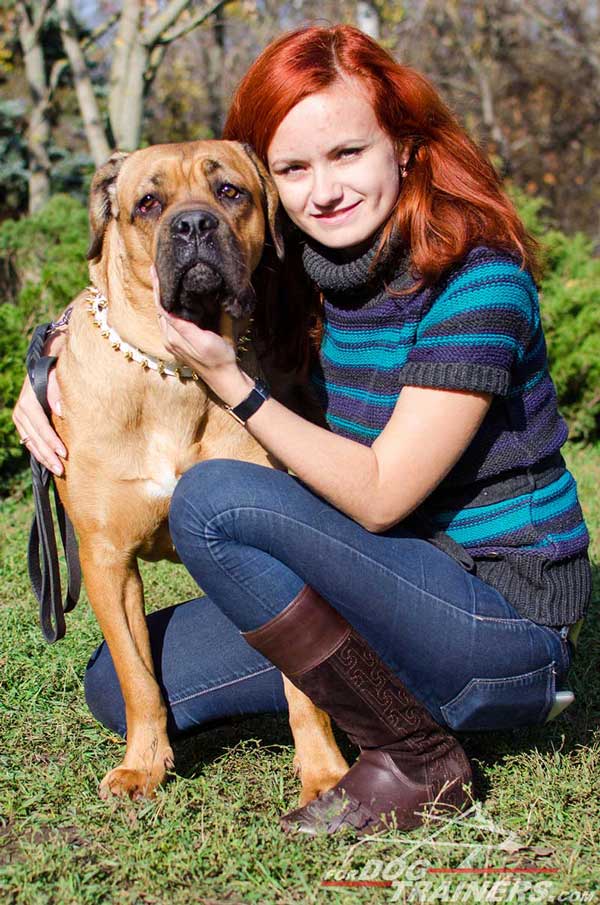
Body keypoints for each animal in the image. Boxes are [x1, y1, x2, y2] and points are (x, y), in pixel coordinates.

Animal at [54, 143, 350, 804]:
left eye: (230, 192)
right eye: (148, 203)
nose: (193, 225)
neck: (171, 377)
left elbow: (306, 681)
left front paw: (323, 773)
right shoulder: (106, 558)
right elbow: (137, 677)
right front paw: (144, 764)